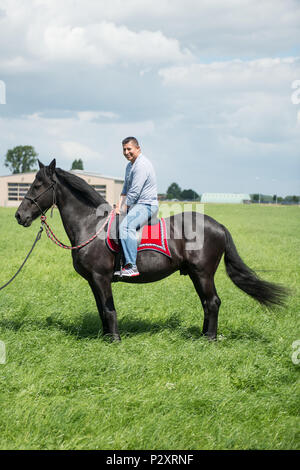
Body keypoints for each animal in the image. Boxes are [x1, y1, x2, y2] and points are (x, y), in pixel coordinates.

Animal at [15, 160, 286, 340]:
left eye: (38, 185)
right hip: (197, 274)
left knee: (212, 302)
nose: (19, 216)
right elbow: (101, 310)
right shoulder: (93, 280)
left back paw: (209, 338)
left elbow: (109, 309)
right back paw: (203, 335)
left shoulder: (101, 278)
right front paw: (105, 337)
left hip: (203, 273)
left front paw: (114, 340)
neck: (91, 225)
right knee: (208, 303)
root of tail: (218, 225)